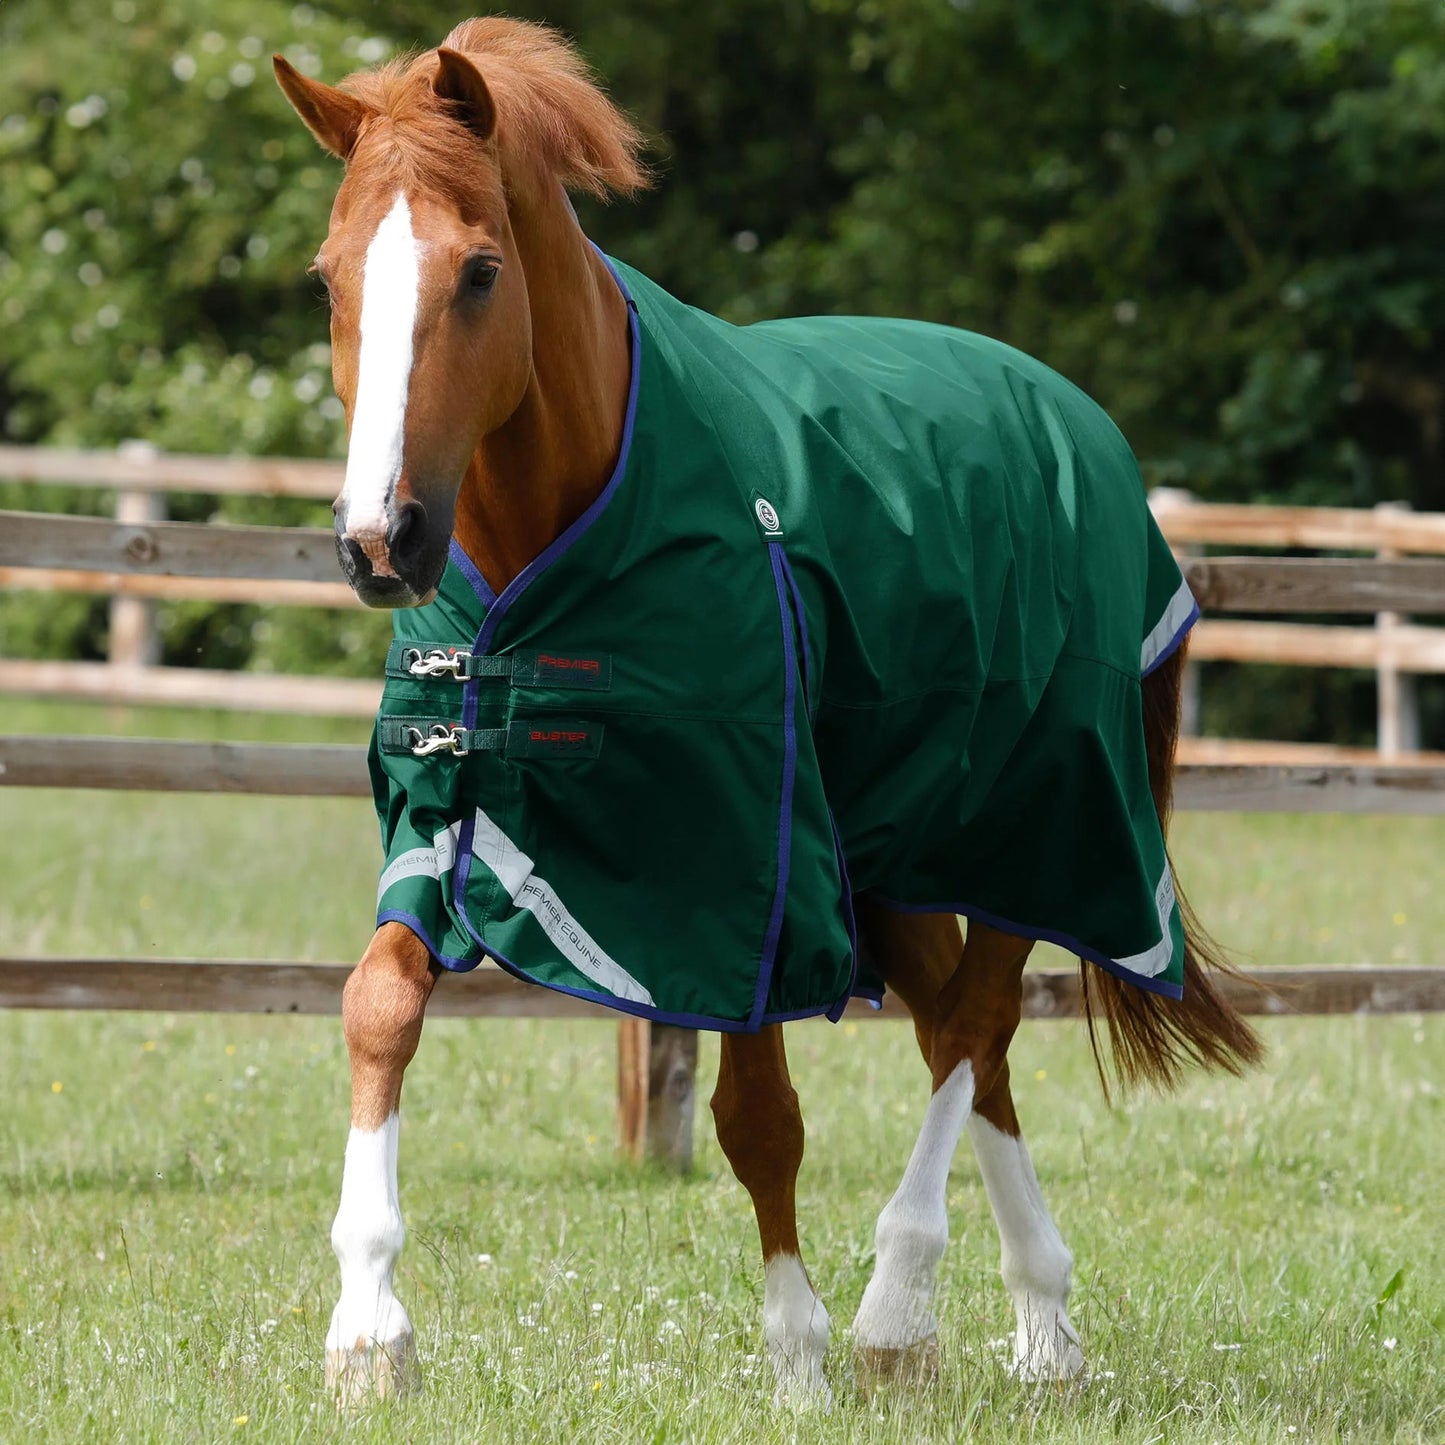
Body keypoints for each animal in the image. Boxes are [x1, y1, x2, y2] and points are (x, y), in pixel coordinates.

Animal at [273, 17, 1262, 1408]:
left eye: (477, 271)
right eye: (326, 279)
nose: (379, 540)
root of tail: (1082, 425)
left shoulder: (743, 862)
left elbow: (758, 1113)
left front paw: (797, 1348)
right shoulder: (458, 816)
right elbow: (379, 1005)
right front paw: (368, 1326)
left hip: (1035, 816)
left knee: (974, 1020)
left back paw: (898, 1303)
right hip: (897, 851)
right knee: (968, 1037)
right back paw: (1041, 1322)